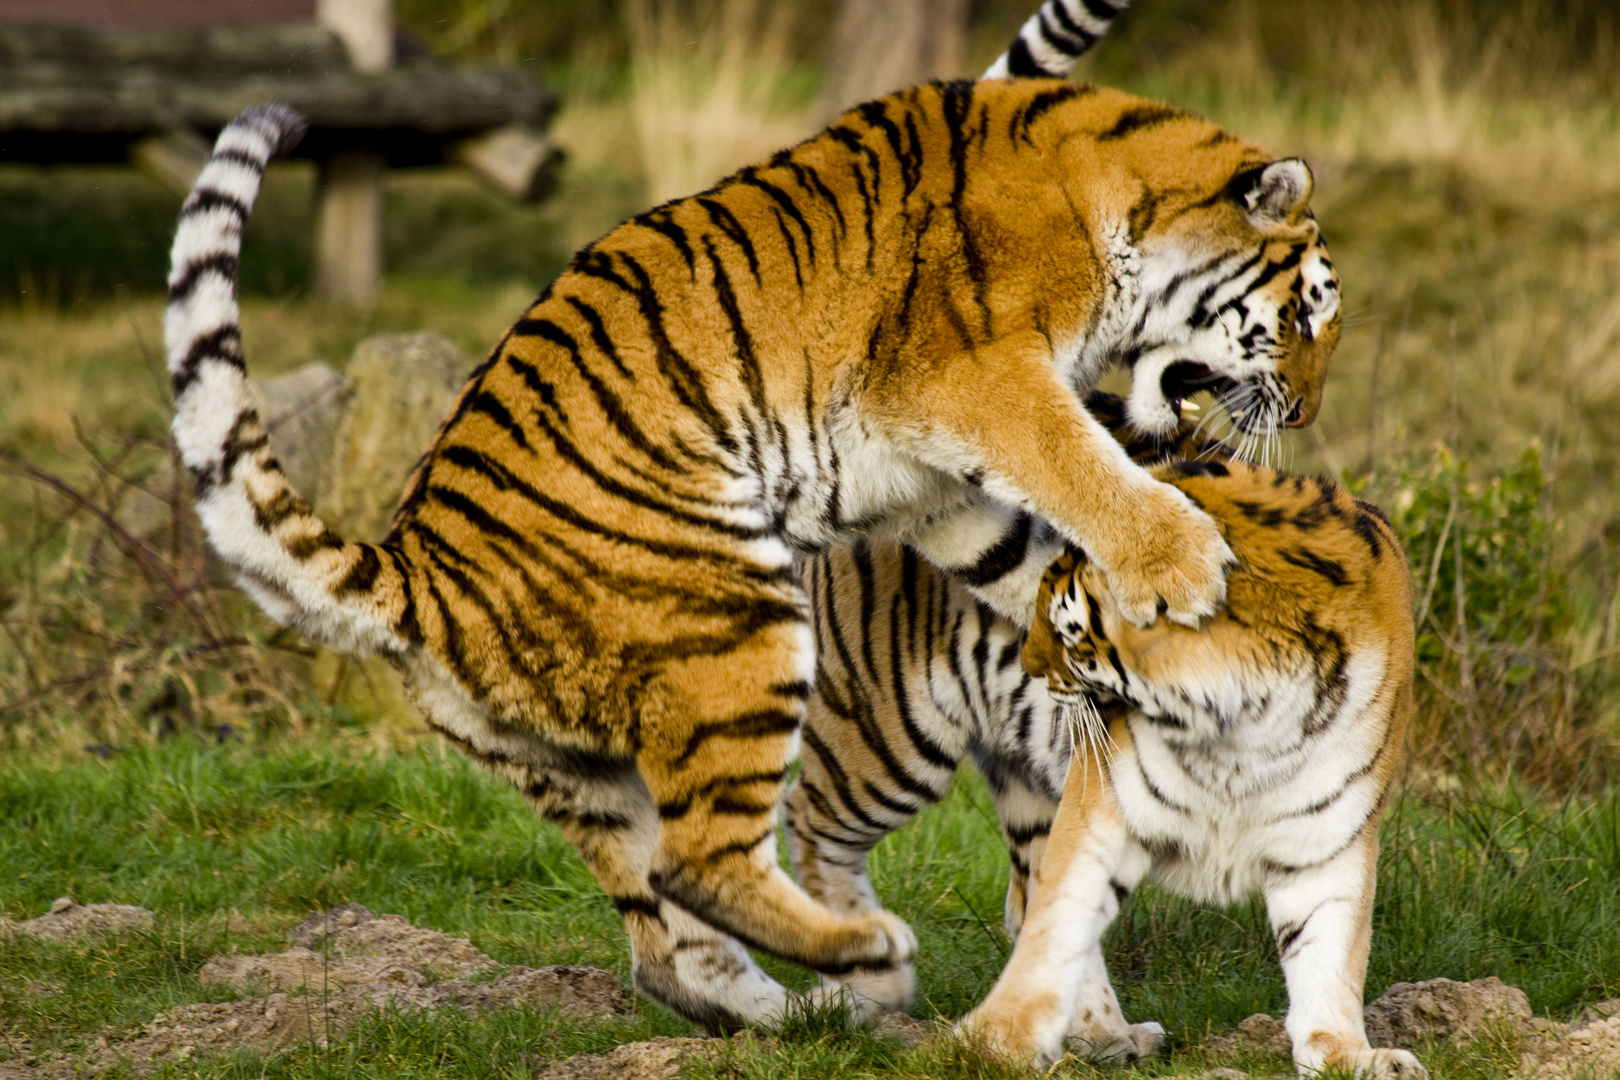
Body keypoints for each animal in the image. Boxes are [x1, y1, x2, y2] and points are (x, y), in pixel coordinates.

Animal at [157, 0, 1334, 1036]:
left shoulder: (933, 481)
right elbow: (1083, 469)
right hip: (733, 625)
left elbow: (1026, 546)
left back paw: (807, 1012)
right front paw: (1187, 564)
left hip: (581, 772)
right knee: (707, 861)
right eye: (1308, 314)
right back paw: (871, 959)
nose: (1305, 412)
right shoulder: (977, 379)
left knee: (665, 938)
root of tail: (416, 568)